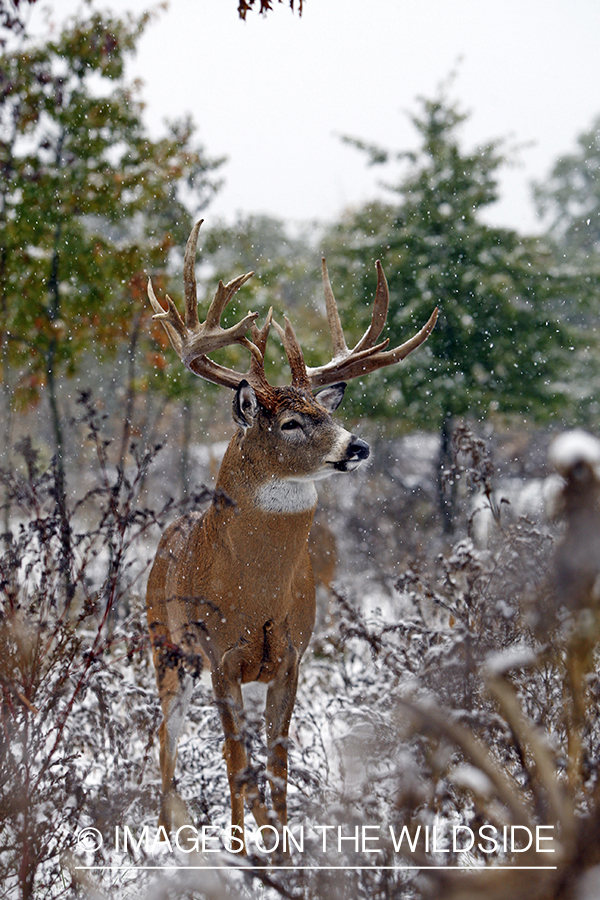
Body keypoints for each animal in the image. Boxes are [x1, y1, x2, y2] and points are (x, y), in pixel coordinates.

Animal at [145, 221, 436, 856]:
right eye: (291, 422)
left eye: (324, 413)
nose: (357, 445)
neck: (256, 592)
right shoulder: (220, 656)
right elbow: (236, 760)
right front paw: (241, 850)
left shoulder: (293, 655)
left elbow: (276, 762)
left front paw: (282, 845)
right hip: (165, 646)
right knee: (166, 740)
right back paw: (176, 835)